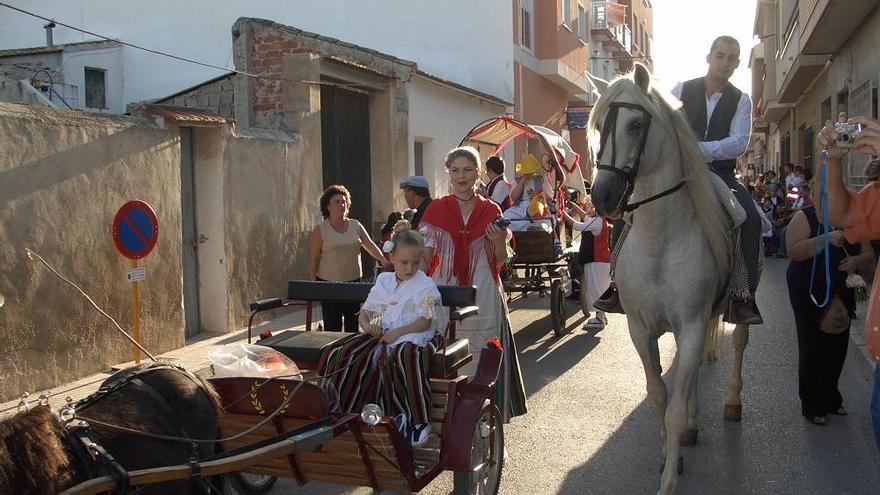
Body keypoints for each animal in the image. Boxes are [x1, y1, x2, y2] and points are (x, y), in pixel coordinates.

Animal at [588, 64, 752, 494]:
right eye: (599, 126)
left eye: (635, 124)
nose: (602, 196)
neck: (659, 240)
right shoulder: (640, 328)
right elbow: (660, 394)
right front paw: (668, 455)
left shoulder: (692, 324)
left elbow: (675, 405)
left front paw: (668, 481)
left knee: (739, 344)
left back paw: (732, 402)